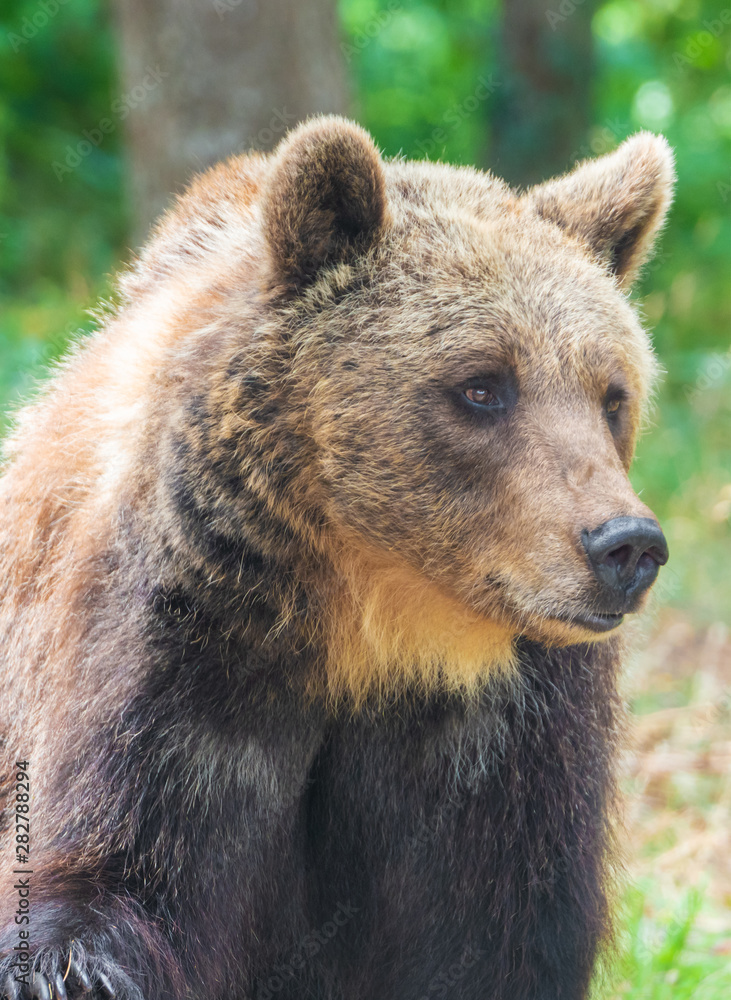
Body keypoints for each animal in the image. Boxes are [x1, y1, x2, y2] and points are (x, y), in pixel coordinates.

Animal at [0, 116, 673, 1000]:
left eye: (611, 394)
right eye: (482, 384)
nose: (624, 545)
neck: (374, 624)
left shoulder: (507, 737)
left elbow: (495, 935)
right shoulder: (186, 653)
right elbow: (116, 883)